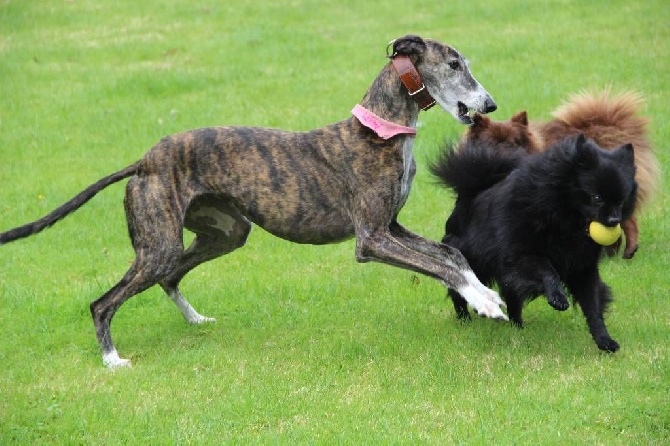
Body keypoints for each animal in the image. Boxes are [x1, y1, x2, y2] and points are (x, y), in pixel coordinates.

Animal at [434, 133, 636, 352]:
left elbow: (592, 304)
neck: (566, 219)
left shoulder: (583, 267)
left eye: (621, 200)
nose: (614, 221)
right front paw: (557, 297)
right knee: (459, 287)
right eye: (597, 198)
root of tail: (470, 193)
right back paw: (464, 318)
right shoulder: (521, 254)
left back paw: (517, 326)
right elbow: (548, 270)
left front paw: (604, 339)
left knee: (511, 296)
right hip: (473, 262)